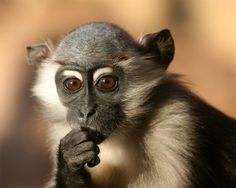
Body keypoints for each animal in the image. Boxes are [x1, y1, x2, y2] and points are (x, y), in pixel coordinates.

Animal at [26, 22, 236, 187]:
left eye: (106, 82)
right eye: (72, 84)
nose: (86, 111)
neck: (121, 137)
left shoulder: (175, 127)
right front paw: (71, 159)